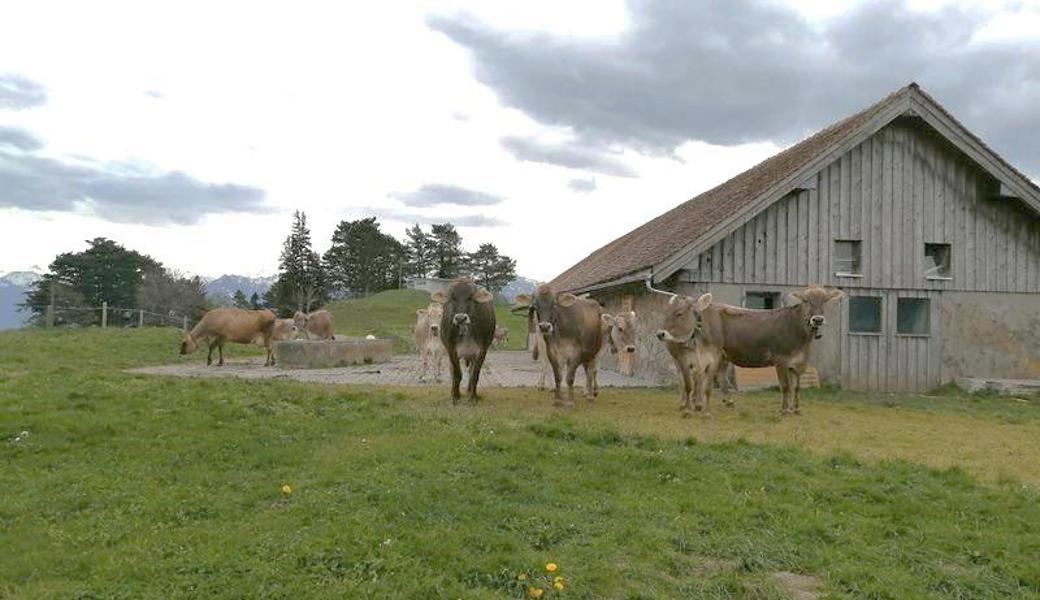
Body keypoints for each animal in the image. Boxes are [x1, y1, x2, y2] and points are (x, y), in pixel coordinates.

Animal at [657, 284, 844, 415]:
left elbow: (796, 387)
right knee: (692, 379)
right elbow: (785, 386)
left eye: (825, 300)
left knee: (716, 376)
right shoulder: (781, 360)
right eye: (806, 301)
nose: (817, 319)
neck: (800, 338)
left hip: (721, 356)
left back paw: (721, 402)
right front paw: (784, 410)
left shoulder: (799, 362)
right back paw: (690, 404)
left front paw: (796, 409)